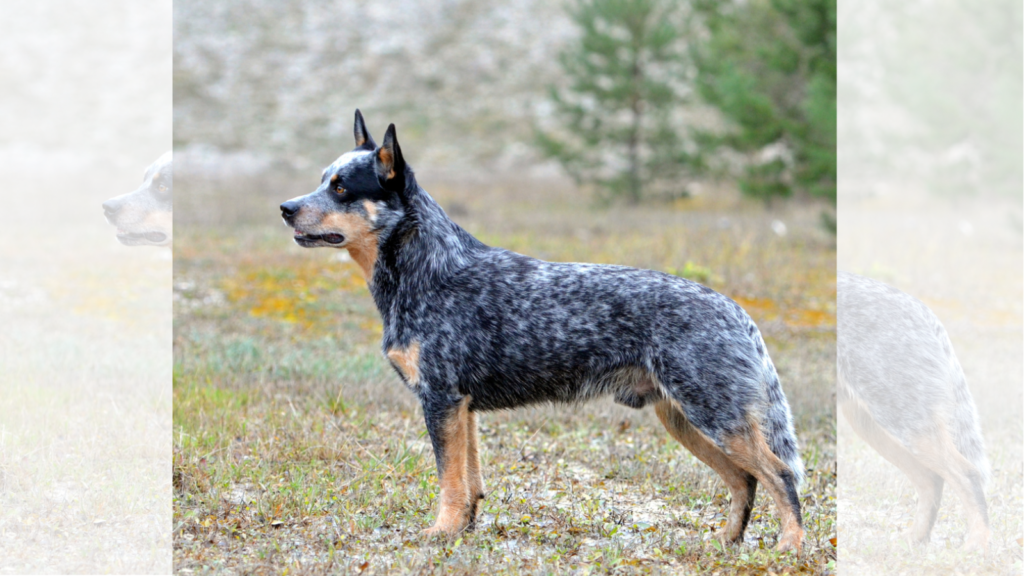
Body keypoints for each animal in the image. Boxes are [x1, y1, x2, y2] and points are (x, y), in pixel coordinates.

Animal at [280, 109, 806, 549]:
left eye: (342, 188)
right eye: (322, 180)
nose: (285, 207)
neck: (429, 270)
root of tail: (736, 310)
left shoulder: (441, 398)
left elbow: (449, 480)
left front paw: (440, 533)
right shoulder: (463, 407)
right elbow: (469, 481)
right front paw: (463, 530)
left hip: (716, 417)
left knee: (780, 475)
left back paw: (790, 547)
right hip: (685, 419)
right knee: (745, 480)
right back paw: (726, 542)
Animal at [835, 270, 987, 549]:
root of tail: (922, 311)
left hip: (904, 425)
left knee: (967, 474)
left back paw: (976, 545)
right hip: (879, 427)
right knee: (932, 480)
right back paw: (915, 539)